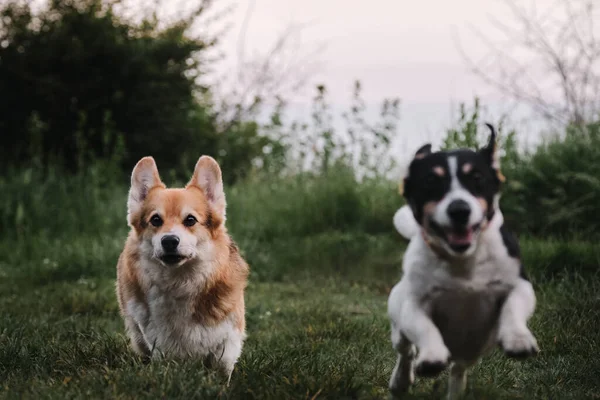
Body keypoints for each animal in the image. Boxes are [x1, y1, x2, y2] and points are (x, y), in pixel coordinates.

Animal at [390, 123, 540, 398]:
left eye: (477, 179)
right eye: (431, 181)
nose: (459, 210)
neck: (463, 259)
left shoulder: (520, 285)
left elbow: (514, 306)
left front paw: (518, 339)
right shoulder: (414, 305)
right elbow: (425, 327)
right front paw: (431, 356)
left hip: (472, 351)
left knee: (458, 370)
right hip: (399, 327)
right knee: (406, 353)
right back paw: (401, 381)